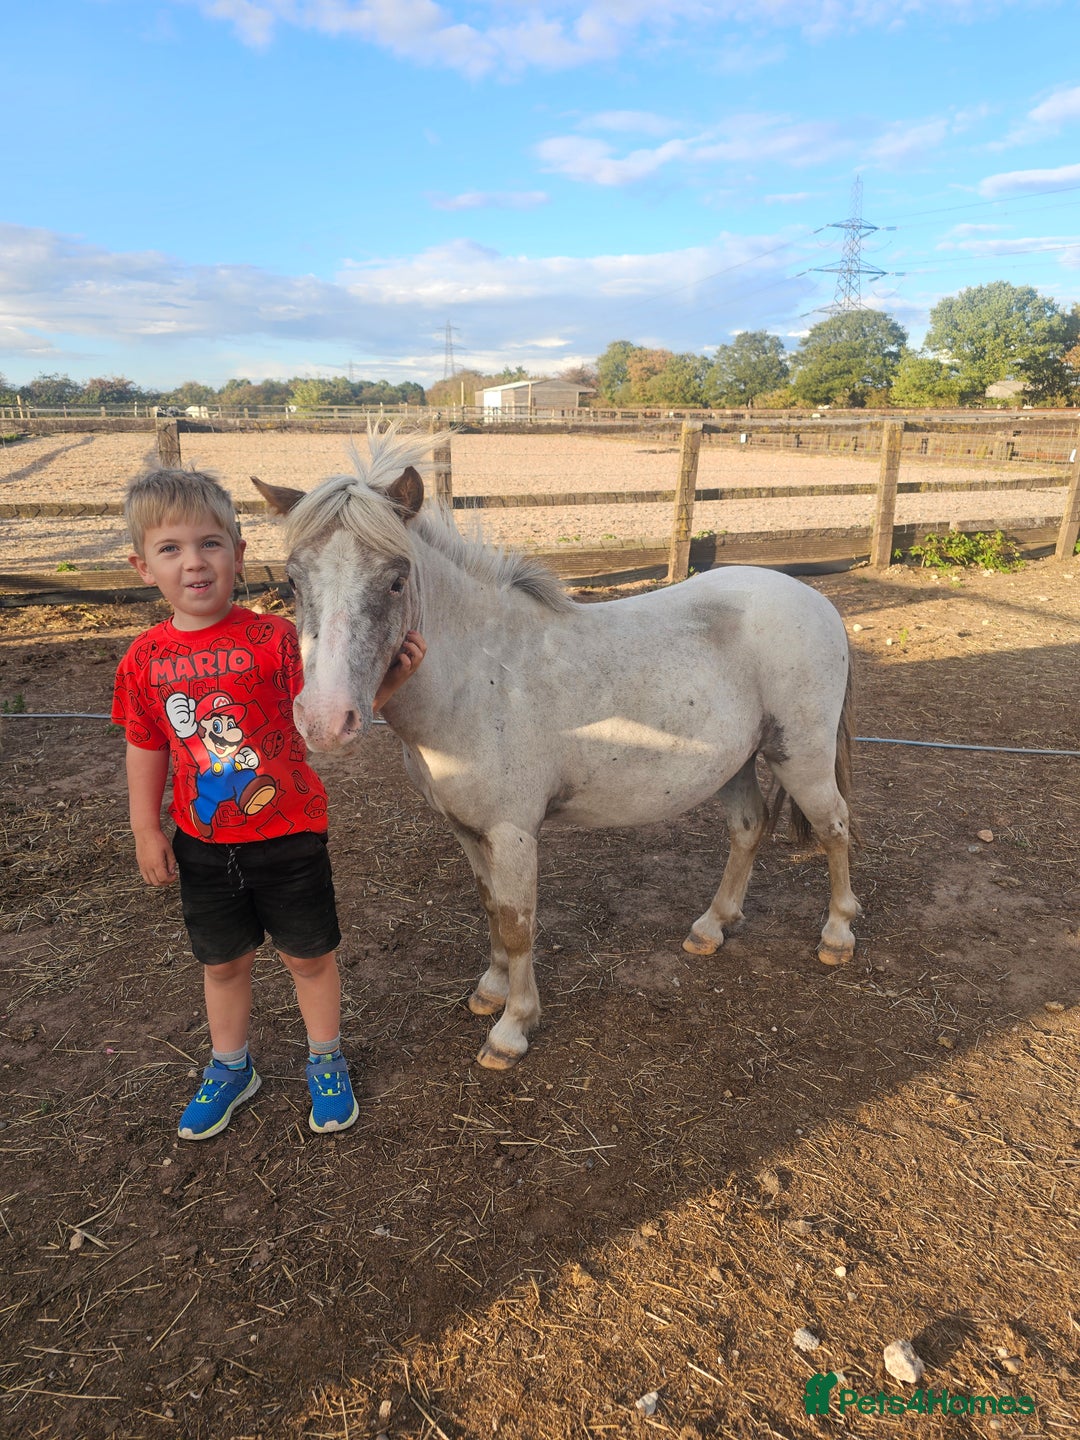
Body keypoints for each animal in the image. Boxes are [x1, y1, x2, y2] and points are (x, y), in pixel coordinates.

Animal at [252, 428, 859, 1070]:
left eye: (396, 580)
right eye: (292, 582)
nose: (325, 719)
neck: (479, 677)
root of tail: (816, 601)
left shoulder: (514, 832)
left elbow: (518, 923)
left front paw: (512, 1028)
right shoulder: (468, 829)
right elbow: (491, 907)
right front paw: (490, 992)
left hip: (802, 756)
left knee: (834, 826)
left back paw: (837, 935)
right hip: (735, 763)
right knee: (748, 829)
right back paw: (711, 927)